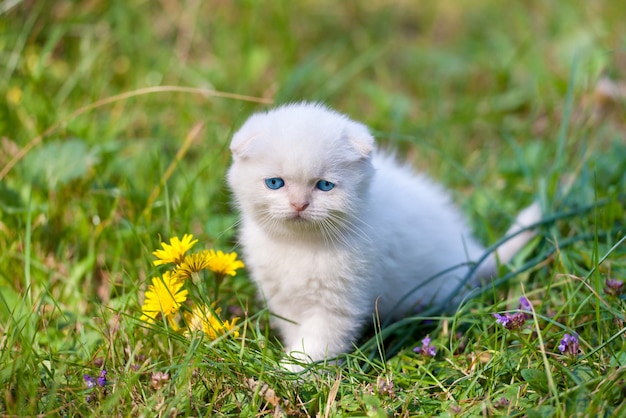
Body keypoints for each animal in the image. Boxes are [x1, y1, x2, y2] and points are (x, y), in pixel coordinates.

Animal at [227, 103, 540, 368]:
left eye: (325, 186)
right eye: (274, 183)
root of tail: (469, 253)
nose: (299, 205)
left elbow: (316, 343)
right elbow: (297, 332)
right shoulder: (281, 297)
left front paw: (294, 374)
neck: (299, 244)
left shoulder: (339, 302)